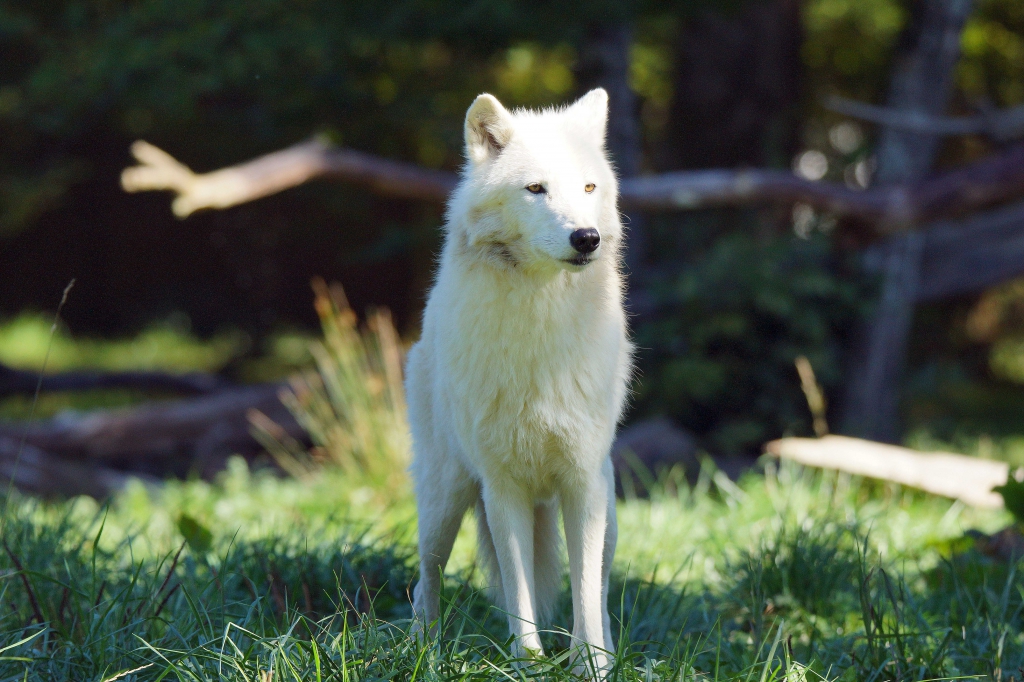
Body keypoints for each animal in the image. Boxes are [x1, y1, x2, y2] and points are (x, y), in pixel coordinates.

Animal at [406, 88, 632, 670]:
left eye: (588, 188)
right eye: (536, 189)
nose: (586, 238)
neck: (539, 332)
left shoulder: (581, 482)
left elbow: (584, 594)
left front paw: (591, 665)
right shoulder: (501, 486)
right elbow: (518, 589)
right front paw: (527, 664)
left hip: (609, 510)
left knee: (601, 586)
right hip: (446, 501)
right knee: (427, 580)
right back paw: (423, 654)